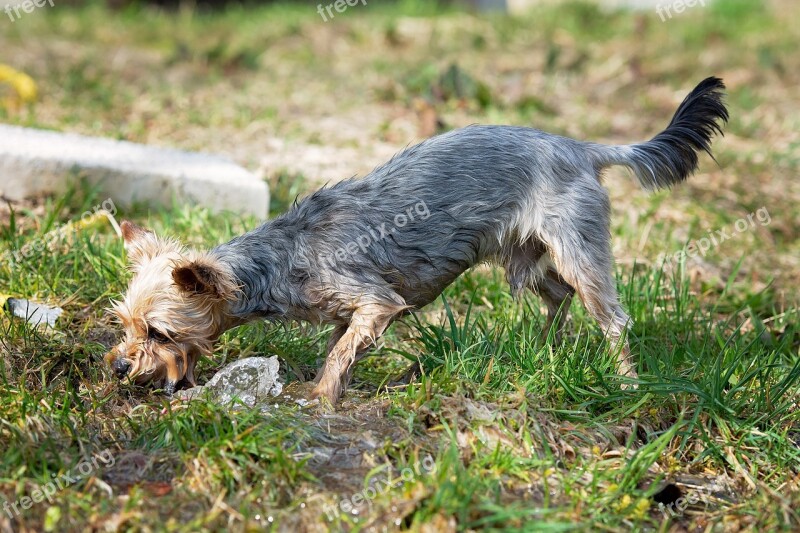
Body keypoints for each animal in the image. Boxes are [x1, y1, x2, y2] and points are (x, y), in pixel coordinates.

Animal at [109, 78, 728, 404]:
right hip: (523, 255)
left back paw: (626, 382)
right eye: (125, 326)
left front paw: (320, 397)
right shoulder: (349, 312)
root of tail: (583, 147)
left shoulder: (377, 302)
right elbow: (339, 346)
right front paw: (328, 382)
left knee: (611, 315)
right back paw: (546, 351)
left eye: (160, 333)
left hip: (576, 243)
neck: (278, 258)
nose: (117, 366)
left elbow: (341, 352)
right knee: (557, 295)